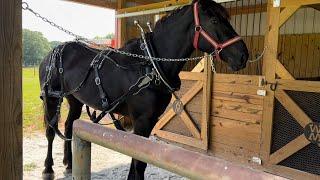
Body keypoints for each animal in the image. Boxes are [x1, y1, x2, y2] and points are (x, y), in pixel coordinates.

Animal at [39, 0, 250, 179]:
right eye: (214, 20)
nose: (243, 55)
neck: (149, 64)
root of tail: (53, 51)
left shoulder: (151, 120)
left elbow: (139, 161)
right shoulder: (142, 120)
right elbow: (138, 162)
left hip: (74, 99)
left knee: (68, 125)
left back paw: (69, 163)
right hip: (52, 98)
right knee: (50, 131)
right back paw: (48, 168)